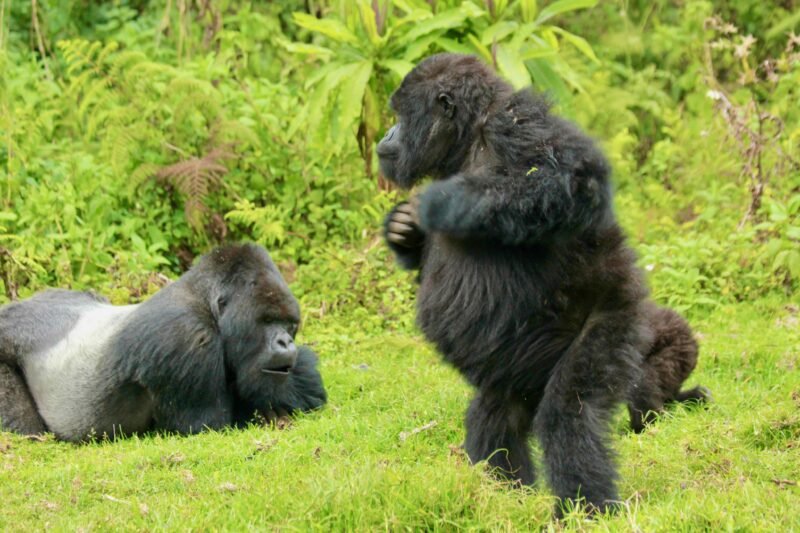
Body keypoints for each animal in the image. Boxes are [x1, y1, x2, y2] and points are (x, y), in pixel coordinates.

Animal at [0, 243, 326, 438]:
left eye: (289, 324)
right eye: (266, 321)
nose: (286, 343)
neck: (203, 301)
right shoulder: (186, 336)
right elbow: (208, 425)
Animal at [376, 53, 708, 512]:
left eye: (400, 115)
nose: (386, 134)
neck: (468, 138)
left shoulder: (518, 123)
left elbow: (569, 180)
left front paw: (448, 202)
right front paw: (403, 230)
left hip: (616, 323)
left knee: (570, 412)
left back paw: (588, 507)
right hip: (518, 366)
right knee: (496, 414)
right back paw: (504, 496)